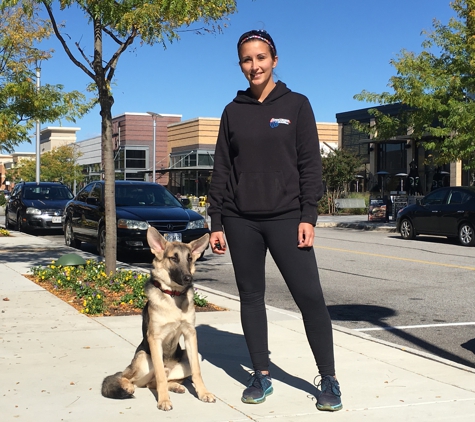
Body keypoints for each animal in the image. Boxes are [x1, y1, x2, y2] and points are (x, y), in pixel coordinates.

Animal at [103, 226, 217, 410]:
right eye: (173, 258)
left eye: (189, 258)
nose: (189, 278)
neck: (173, 296)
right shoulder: (155, 338)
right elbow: (160, 376)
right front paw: (164, 400)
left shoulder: (190, 334)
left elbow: (197, 371)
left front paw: (203, 393)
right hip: (143, 357)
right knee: (130, 378)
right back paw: (128, 386)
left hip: (185, 360)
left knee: (153, 382)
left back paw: (176, 386)